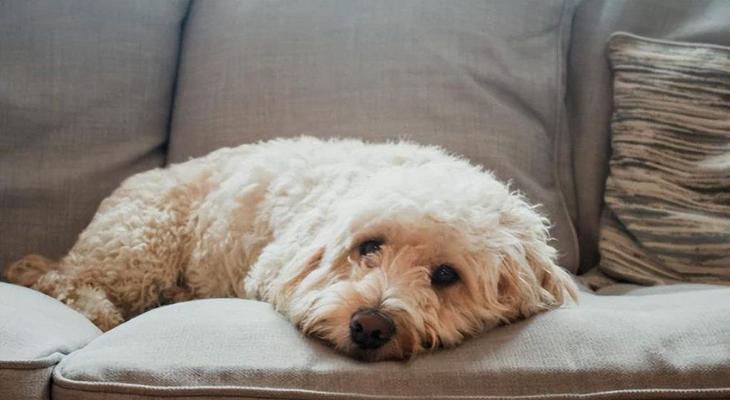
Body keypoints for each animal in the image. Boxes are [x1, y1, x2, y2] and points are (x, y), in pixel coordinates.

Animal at [5, 138, 576, 362]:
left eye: (445, 275)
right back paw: (99, 308)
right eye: (368, 246)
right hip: (140, 242)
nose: (370, 326)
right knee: (64, 280)